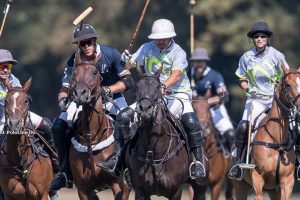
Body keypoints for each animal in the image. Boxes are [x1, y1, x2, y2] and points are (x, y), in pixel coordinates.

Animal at [68, 53, 129, 200]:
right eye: (74, 73)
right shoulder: (83, 189)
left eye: (95, 72)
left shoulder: (117, 184)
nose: (80, 93)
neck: (93, 137)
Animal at [125, 67, 207, 200]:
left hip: (201, 186)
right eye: (137, 86)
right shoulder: (140, 190)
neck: (155, 152)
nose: (145, 109)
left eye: (158, 87)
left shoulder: (176, 190)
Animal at [231, 66, 298, 200]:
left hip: (273, 190)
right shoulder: (257, 179)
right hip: (239, 186)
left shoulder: (287, 182)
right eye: (287, 85)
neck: (277, 141)